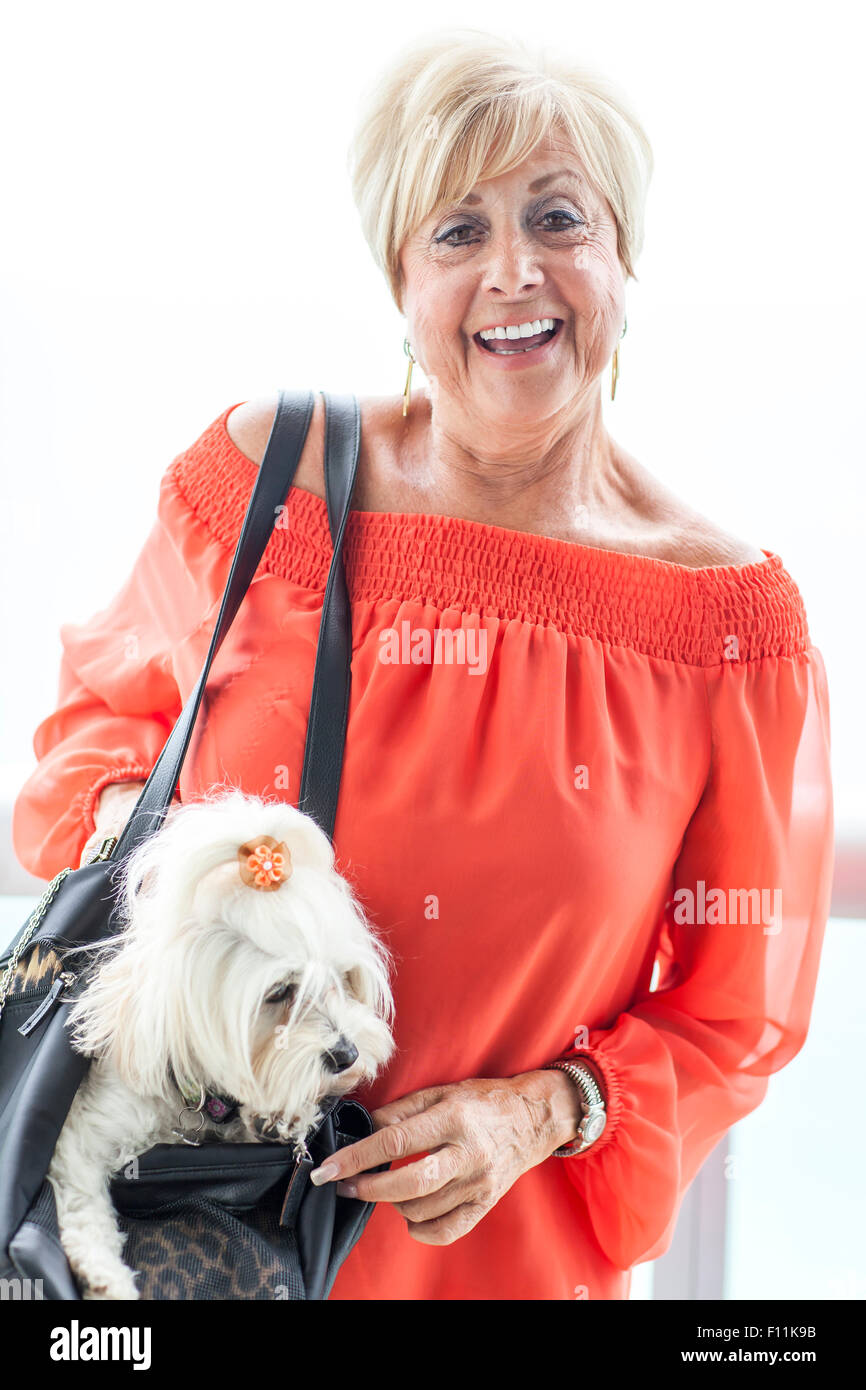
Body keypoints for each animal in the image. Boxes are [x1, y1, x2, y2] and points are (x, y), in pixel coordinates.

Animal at [48, 789, 394, 1295]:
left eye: (343, 978)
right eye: (279, 992)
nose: (347, 1054)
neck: (198, 1102)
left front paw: (280, 1116)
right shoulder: (84, 1134)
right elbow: (81, 1203)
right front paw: (106, 1276)